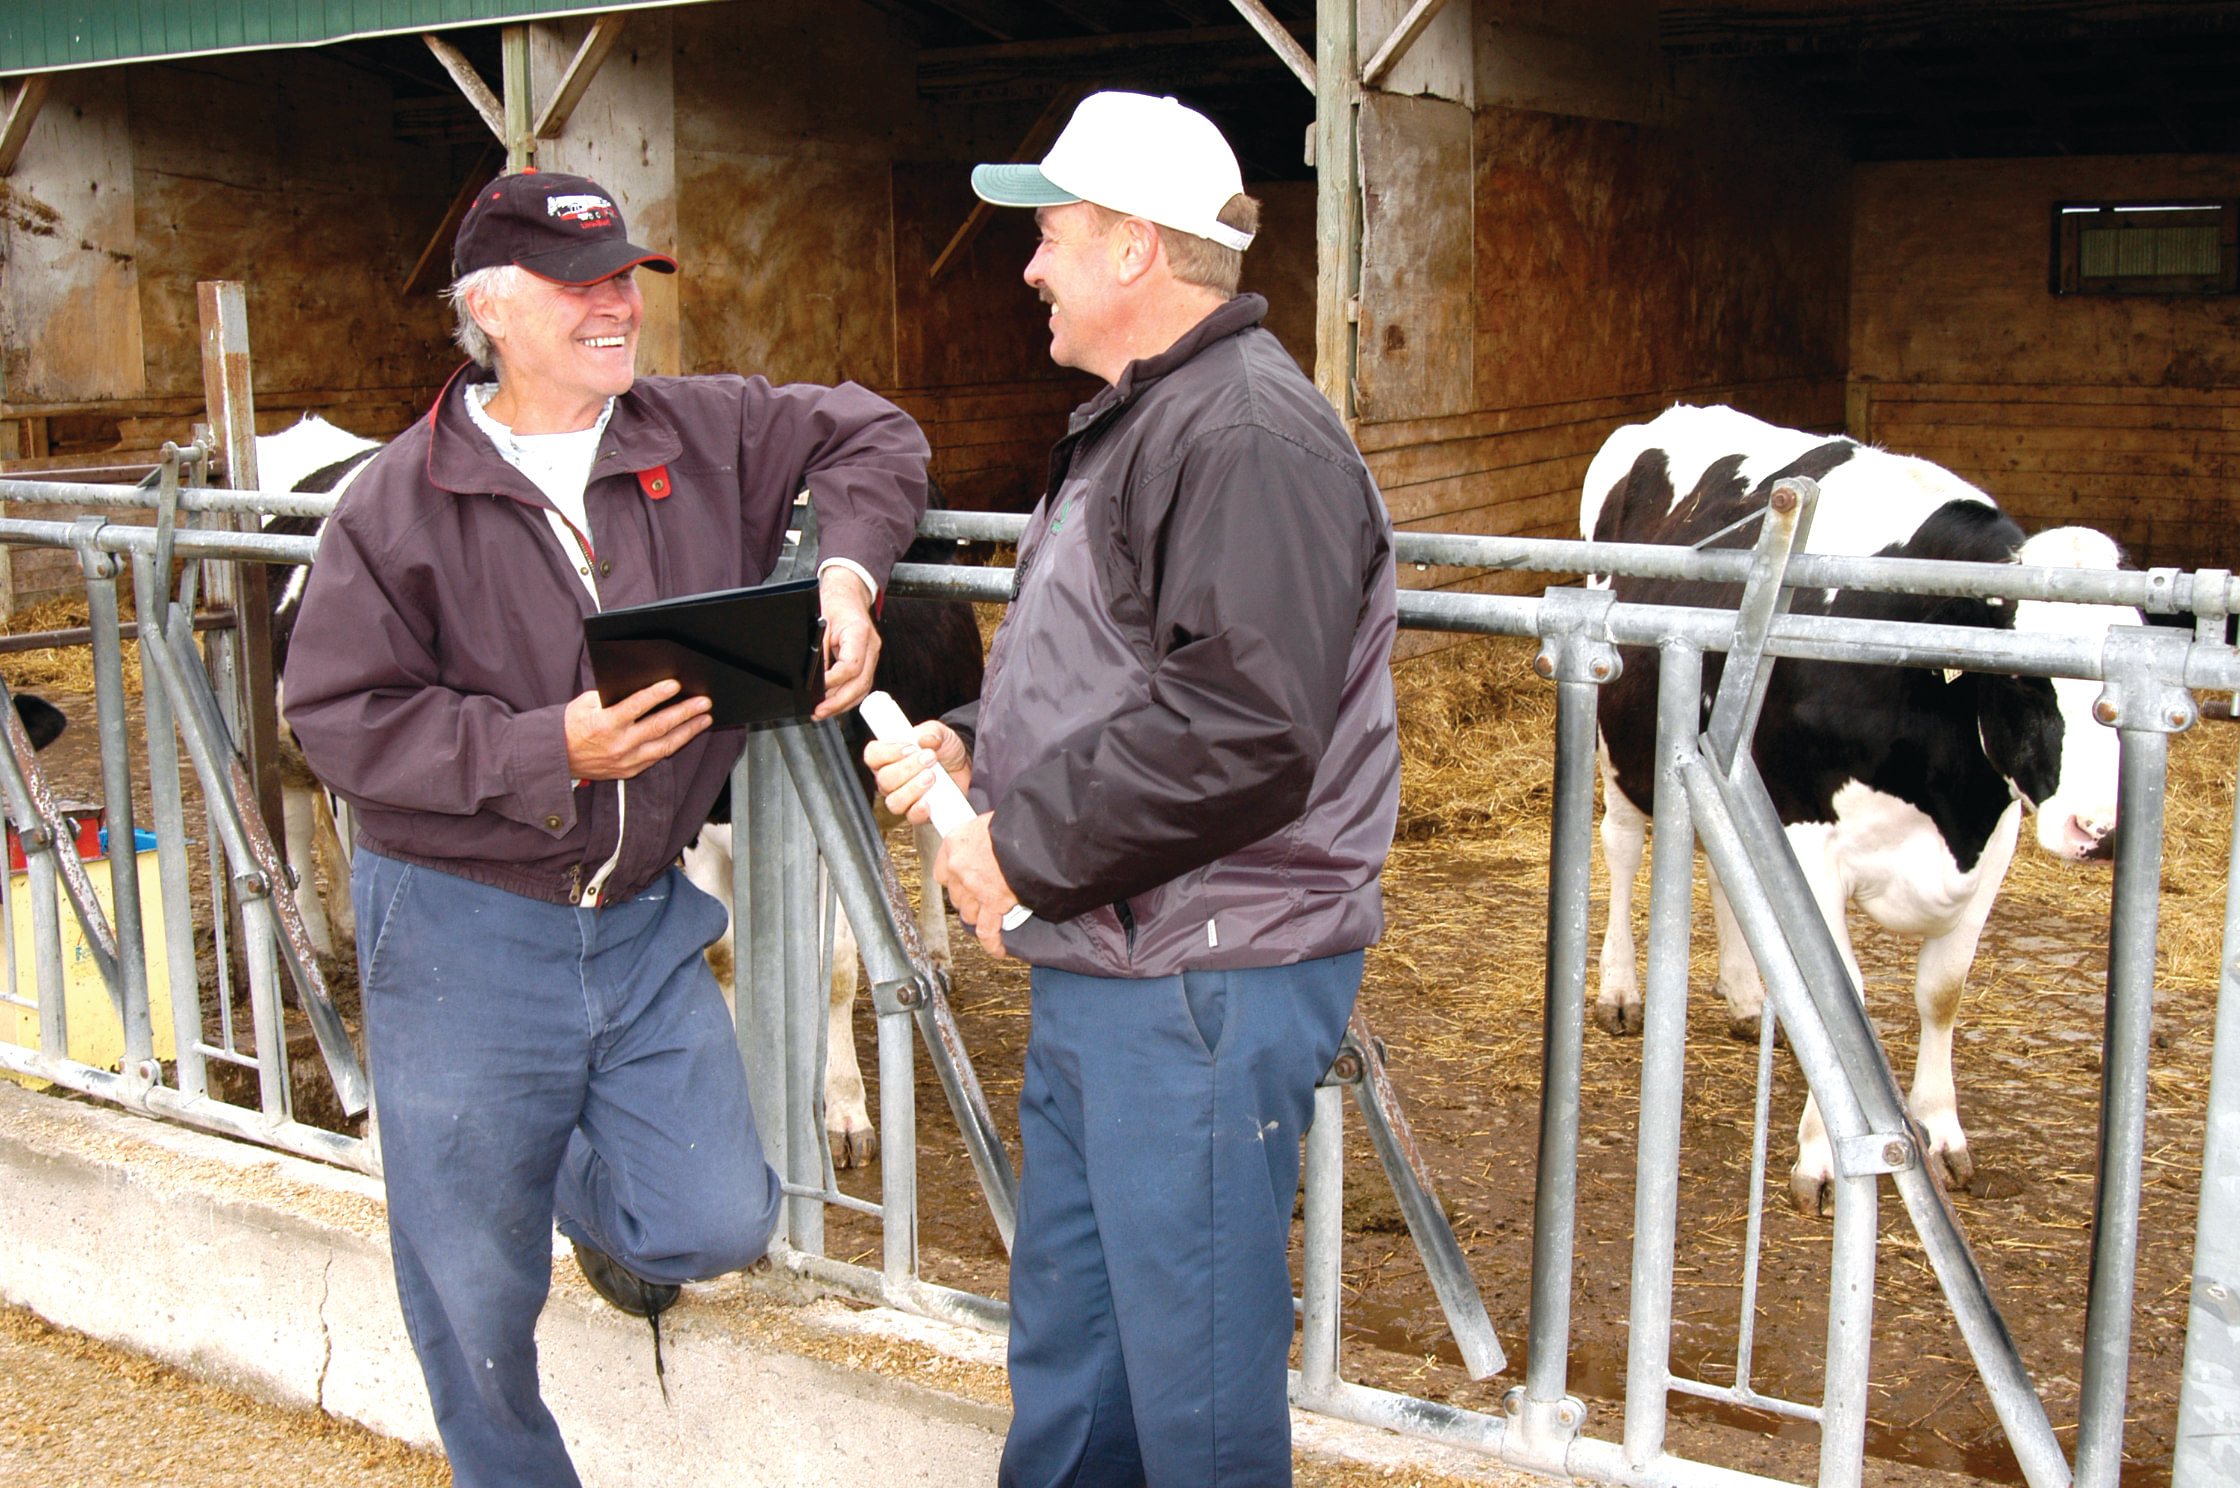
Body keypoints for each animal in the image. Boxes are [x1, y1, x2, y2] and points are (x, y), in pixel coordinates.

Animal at [1585, 403, 2123, 1210]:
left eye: (2120, 696)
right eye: (2024, 679)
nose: (2097, 829)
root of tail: (1667, 415)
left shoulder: (1992, 841)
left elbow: (1942, 992)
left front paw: (1942, 1133)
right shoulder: (1811, 837)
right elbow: (1844, 997)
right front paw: (1819, 1158)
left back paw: (1747, 998)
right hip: (1618, 734)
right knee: (1621, 844)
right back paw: (1619, 991)